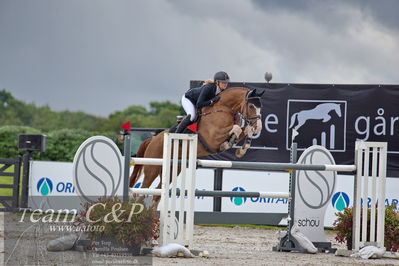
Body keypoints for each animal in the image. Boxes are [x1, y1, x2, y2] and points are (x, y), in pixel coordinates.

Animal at [130, 87, 264, 208]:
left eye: (260, 107)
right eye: (251, 106)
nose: (258, 127)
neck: (224, 109)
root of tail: (152, 140)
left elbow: (244, 129)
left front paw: (241, 149)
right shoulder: (213, 137)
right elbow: (236, 129)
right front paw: (227, 144)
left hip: (173, 169)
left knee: (156, 195)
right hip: (152, 167)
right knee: (142, 192)